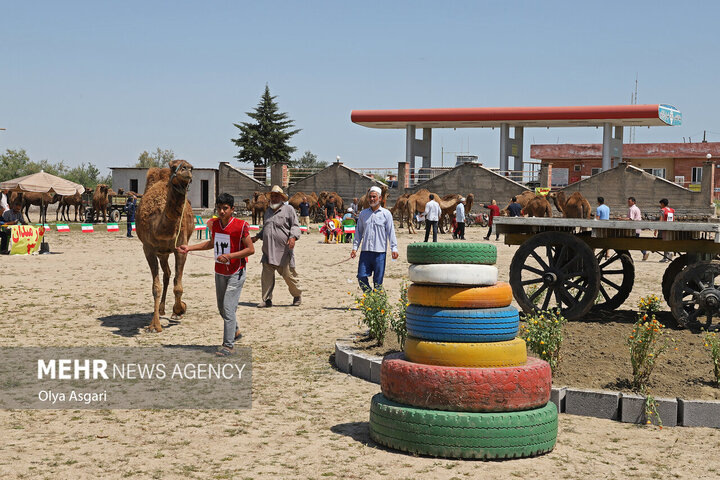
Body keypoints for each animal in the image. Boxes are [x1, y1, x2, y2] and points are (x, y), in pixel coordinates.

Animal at [135, 159, 194, 332]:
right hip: (162, 253)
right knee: (166, 274)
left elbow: (178, 285)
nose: (186, 169)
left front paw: (179, 310)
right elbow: (156, 287)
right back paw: (160, 310)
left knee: (169, 275)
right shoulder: (148, 249)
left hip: (166, 252)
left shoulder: (181, 247)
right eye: (173, 166)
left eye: (192, 167)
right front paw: (154, 325)